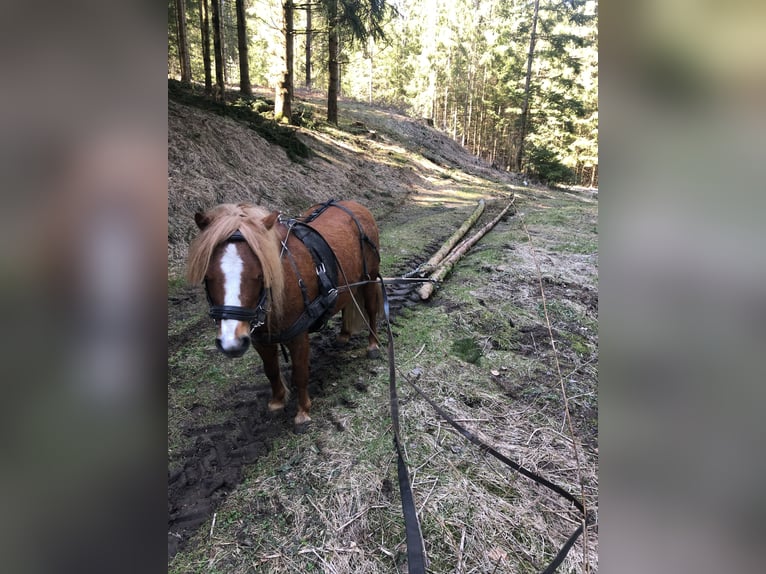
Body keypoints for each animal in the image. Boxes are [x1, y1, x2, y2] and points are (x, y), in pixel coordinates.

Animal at [183, 200, 380, 430]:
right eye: (207, 276)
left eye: (260, 275)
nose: (231, 343)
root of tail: (354, 205)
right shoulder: (259, 338)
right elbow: (270, 369)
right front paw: (277, 401)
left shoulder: (298, 335)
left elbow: (301, 372)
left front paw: (303, 412)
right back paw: (344, 334)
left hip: (369, 277)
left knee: (371, 309)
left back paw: (373, 345)